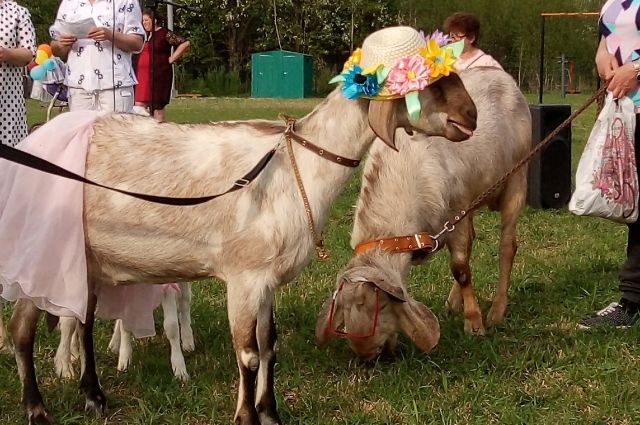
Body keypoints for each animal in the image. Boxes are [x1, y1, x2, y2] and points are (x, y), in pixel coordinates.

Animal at [3, 71, 476, 422]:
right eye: (427, 80)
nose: (470, 117)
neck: (296, 167)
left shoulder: (265, 281)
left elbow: (269, 346)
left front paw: (270, 414)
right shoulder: (244, 277)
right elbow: (248, 354)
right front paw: (247, 416)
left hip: (86, 262)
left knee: (81, 324)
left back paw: (94, 398)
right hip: (42, 255)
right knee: (22, 331)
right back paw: (37, 409)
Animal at [316, 67, 528, 362]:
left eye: (380, 306)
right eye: (344, 312)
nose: (368, 356)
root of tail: (501, 74)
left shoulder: (457, 210)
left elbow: (460, 268)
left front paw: (474, 324)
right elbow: (463, 262)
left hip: (517, 178)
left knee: (507, 246)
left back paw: (497, 310)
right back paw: (453, 302)